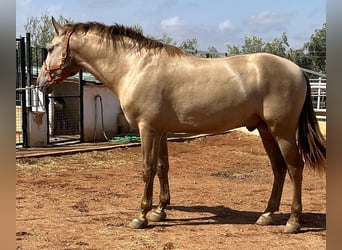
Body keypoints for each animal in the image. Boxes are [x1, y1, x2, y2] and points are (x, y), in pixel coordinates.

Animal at [36, 17, 326, 232]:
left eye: (49, 48)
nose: (40, 83)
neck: (136, 67)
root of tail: (297, 70)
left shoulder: (147, 129)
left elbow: (147, 169)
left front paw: (141, 216)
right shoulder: (161, 130)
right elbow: (163, 168)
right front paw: (160, 210)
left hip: (282, 132)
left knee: (295, 168)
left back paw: (293, 221)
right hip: (266, 131)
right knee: (279, 169)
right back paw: (267, 214)